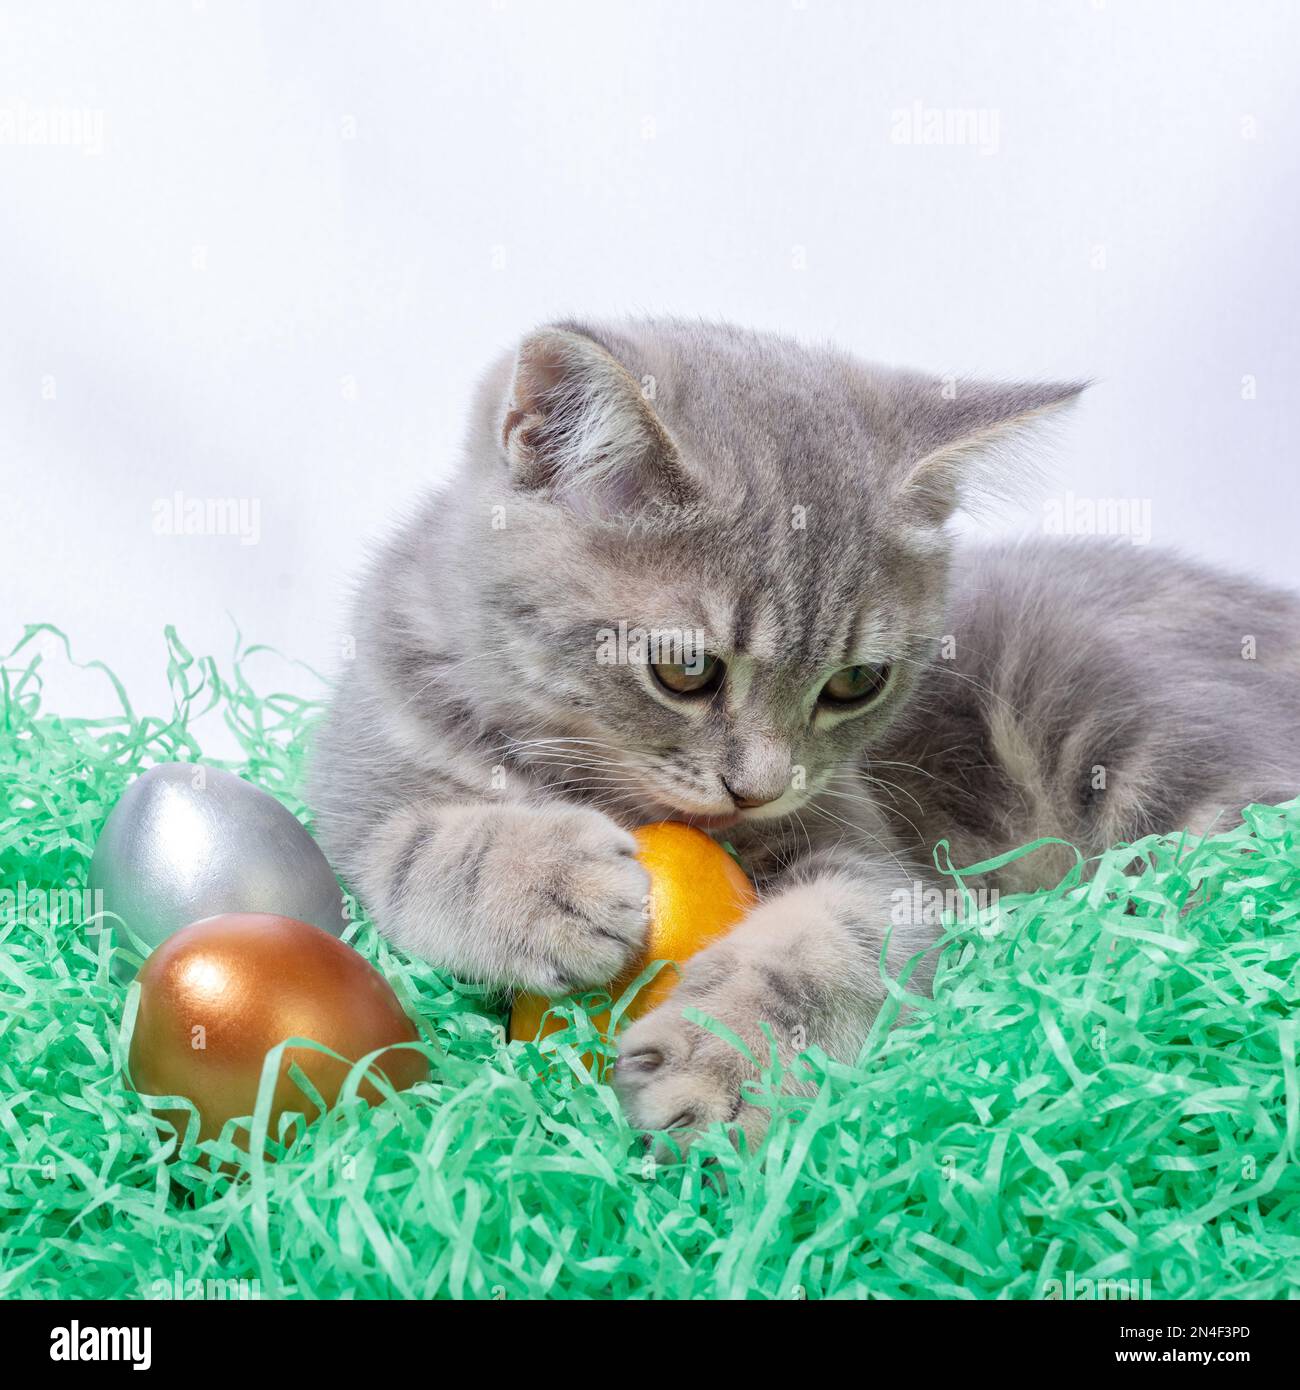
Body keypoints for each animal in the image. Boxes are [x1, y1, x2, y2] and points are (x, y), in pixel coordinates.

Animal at [312, 319, 1300, 1145]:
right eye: (685, 670)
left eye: (856, 683)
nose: (760, 785)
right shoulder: (360, 755)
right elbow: (405, 841)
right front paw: (542, 879)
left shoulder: (873, 855)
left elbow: (830, 938)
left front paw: (727, 1060)